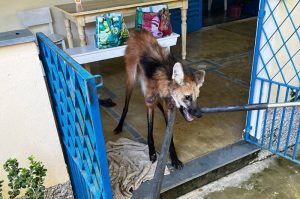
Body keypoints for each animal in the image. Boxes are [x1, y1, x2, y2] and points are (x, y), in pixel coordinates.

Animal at [113, 29, 205, 169]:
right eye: (187, 97)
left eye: (196, 98)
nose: (200, 114)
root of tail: (138, 31)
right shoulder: (150, 101)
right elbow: (150, 128)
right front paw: (151, 152)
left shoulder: (168, 105)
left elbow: (169, 136)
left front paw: (174, 158)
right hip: (131, 78)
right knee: (126, 105)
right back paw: (119, 126)